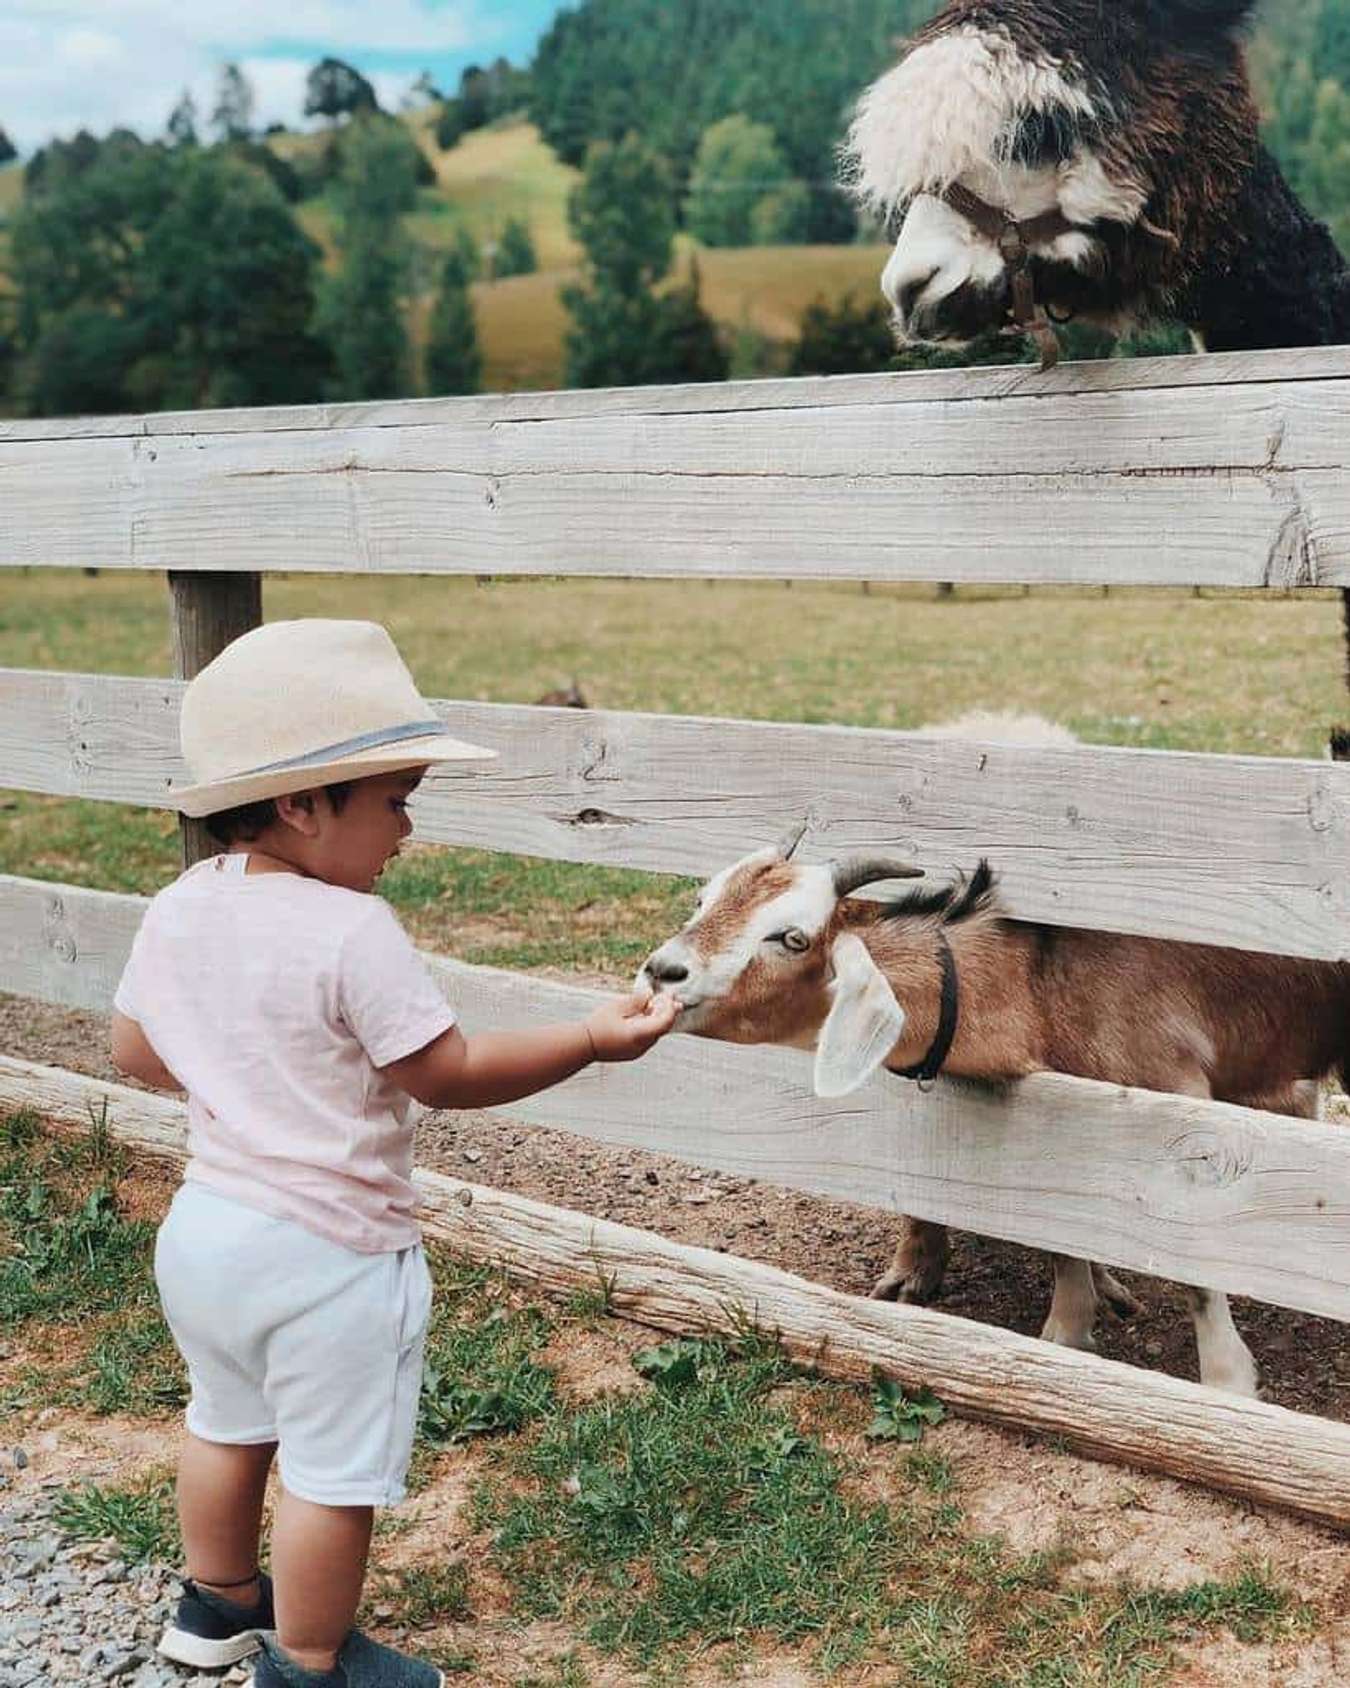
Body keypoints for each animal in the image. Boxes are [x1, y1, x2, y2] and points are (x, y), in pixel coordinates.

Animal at [641, 850, 1336, 1390]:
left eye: (792, 937)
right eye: (703, 900)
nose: (660, 973)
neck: (1045, 983)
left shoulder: (1180, 1110)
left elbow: (1196, 1255)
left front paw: (1228, 1380)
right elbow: (1060, 1233)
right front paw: (1069, 1329)